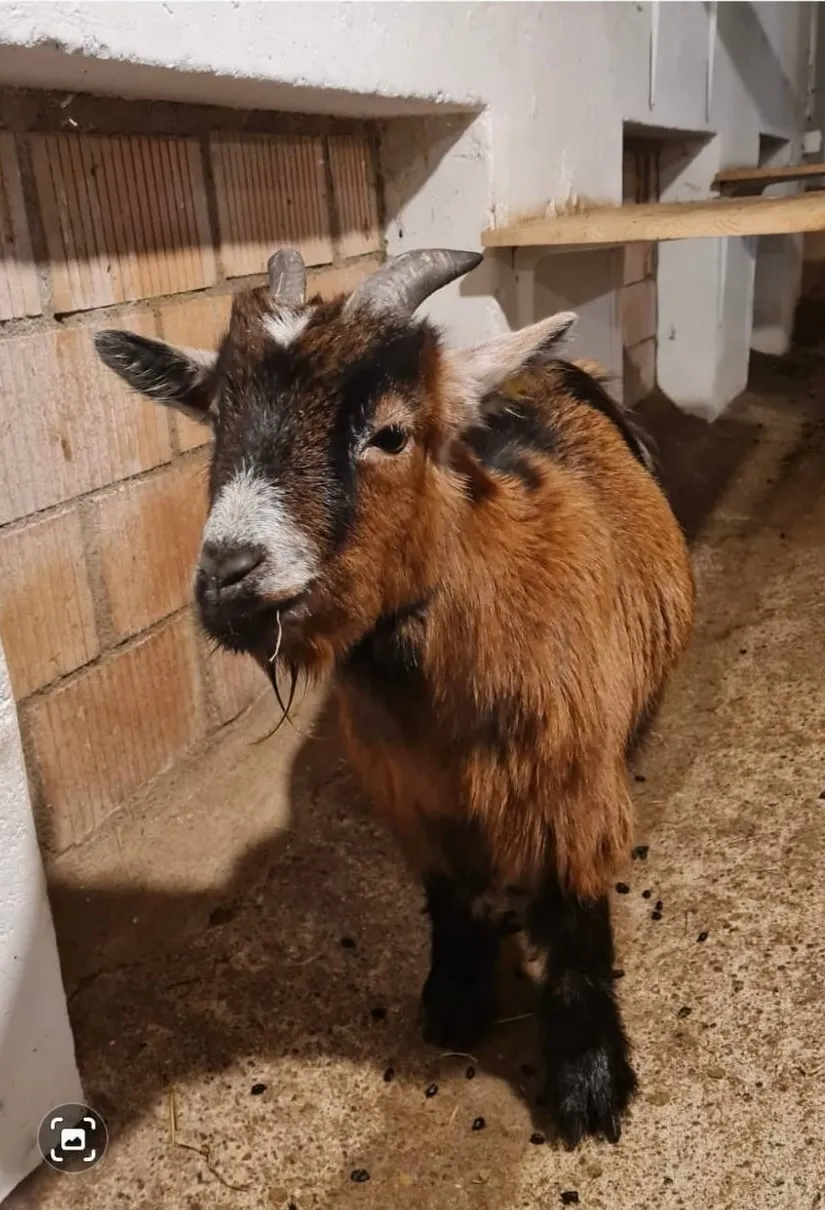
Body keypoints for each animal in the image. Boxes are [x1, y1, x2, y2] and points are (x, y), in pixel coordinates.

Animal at [94, 248, 694, 1147]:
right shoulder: (412, 794)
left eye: (389, 433)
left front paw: (590, 1086)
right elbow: (448, 901)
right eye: (217, 426)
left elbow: (576, 920)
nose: (229, 575)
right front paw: (452, 1005)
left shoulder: (572, 785)